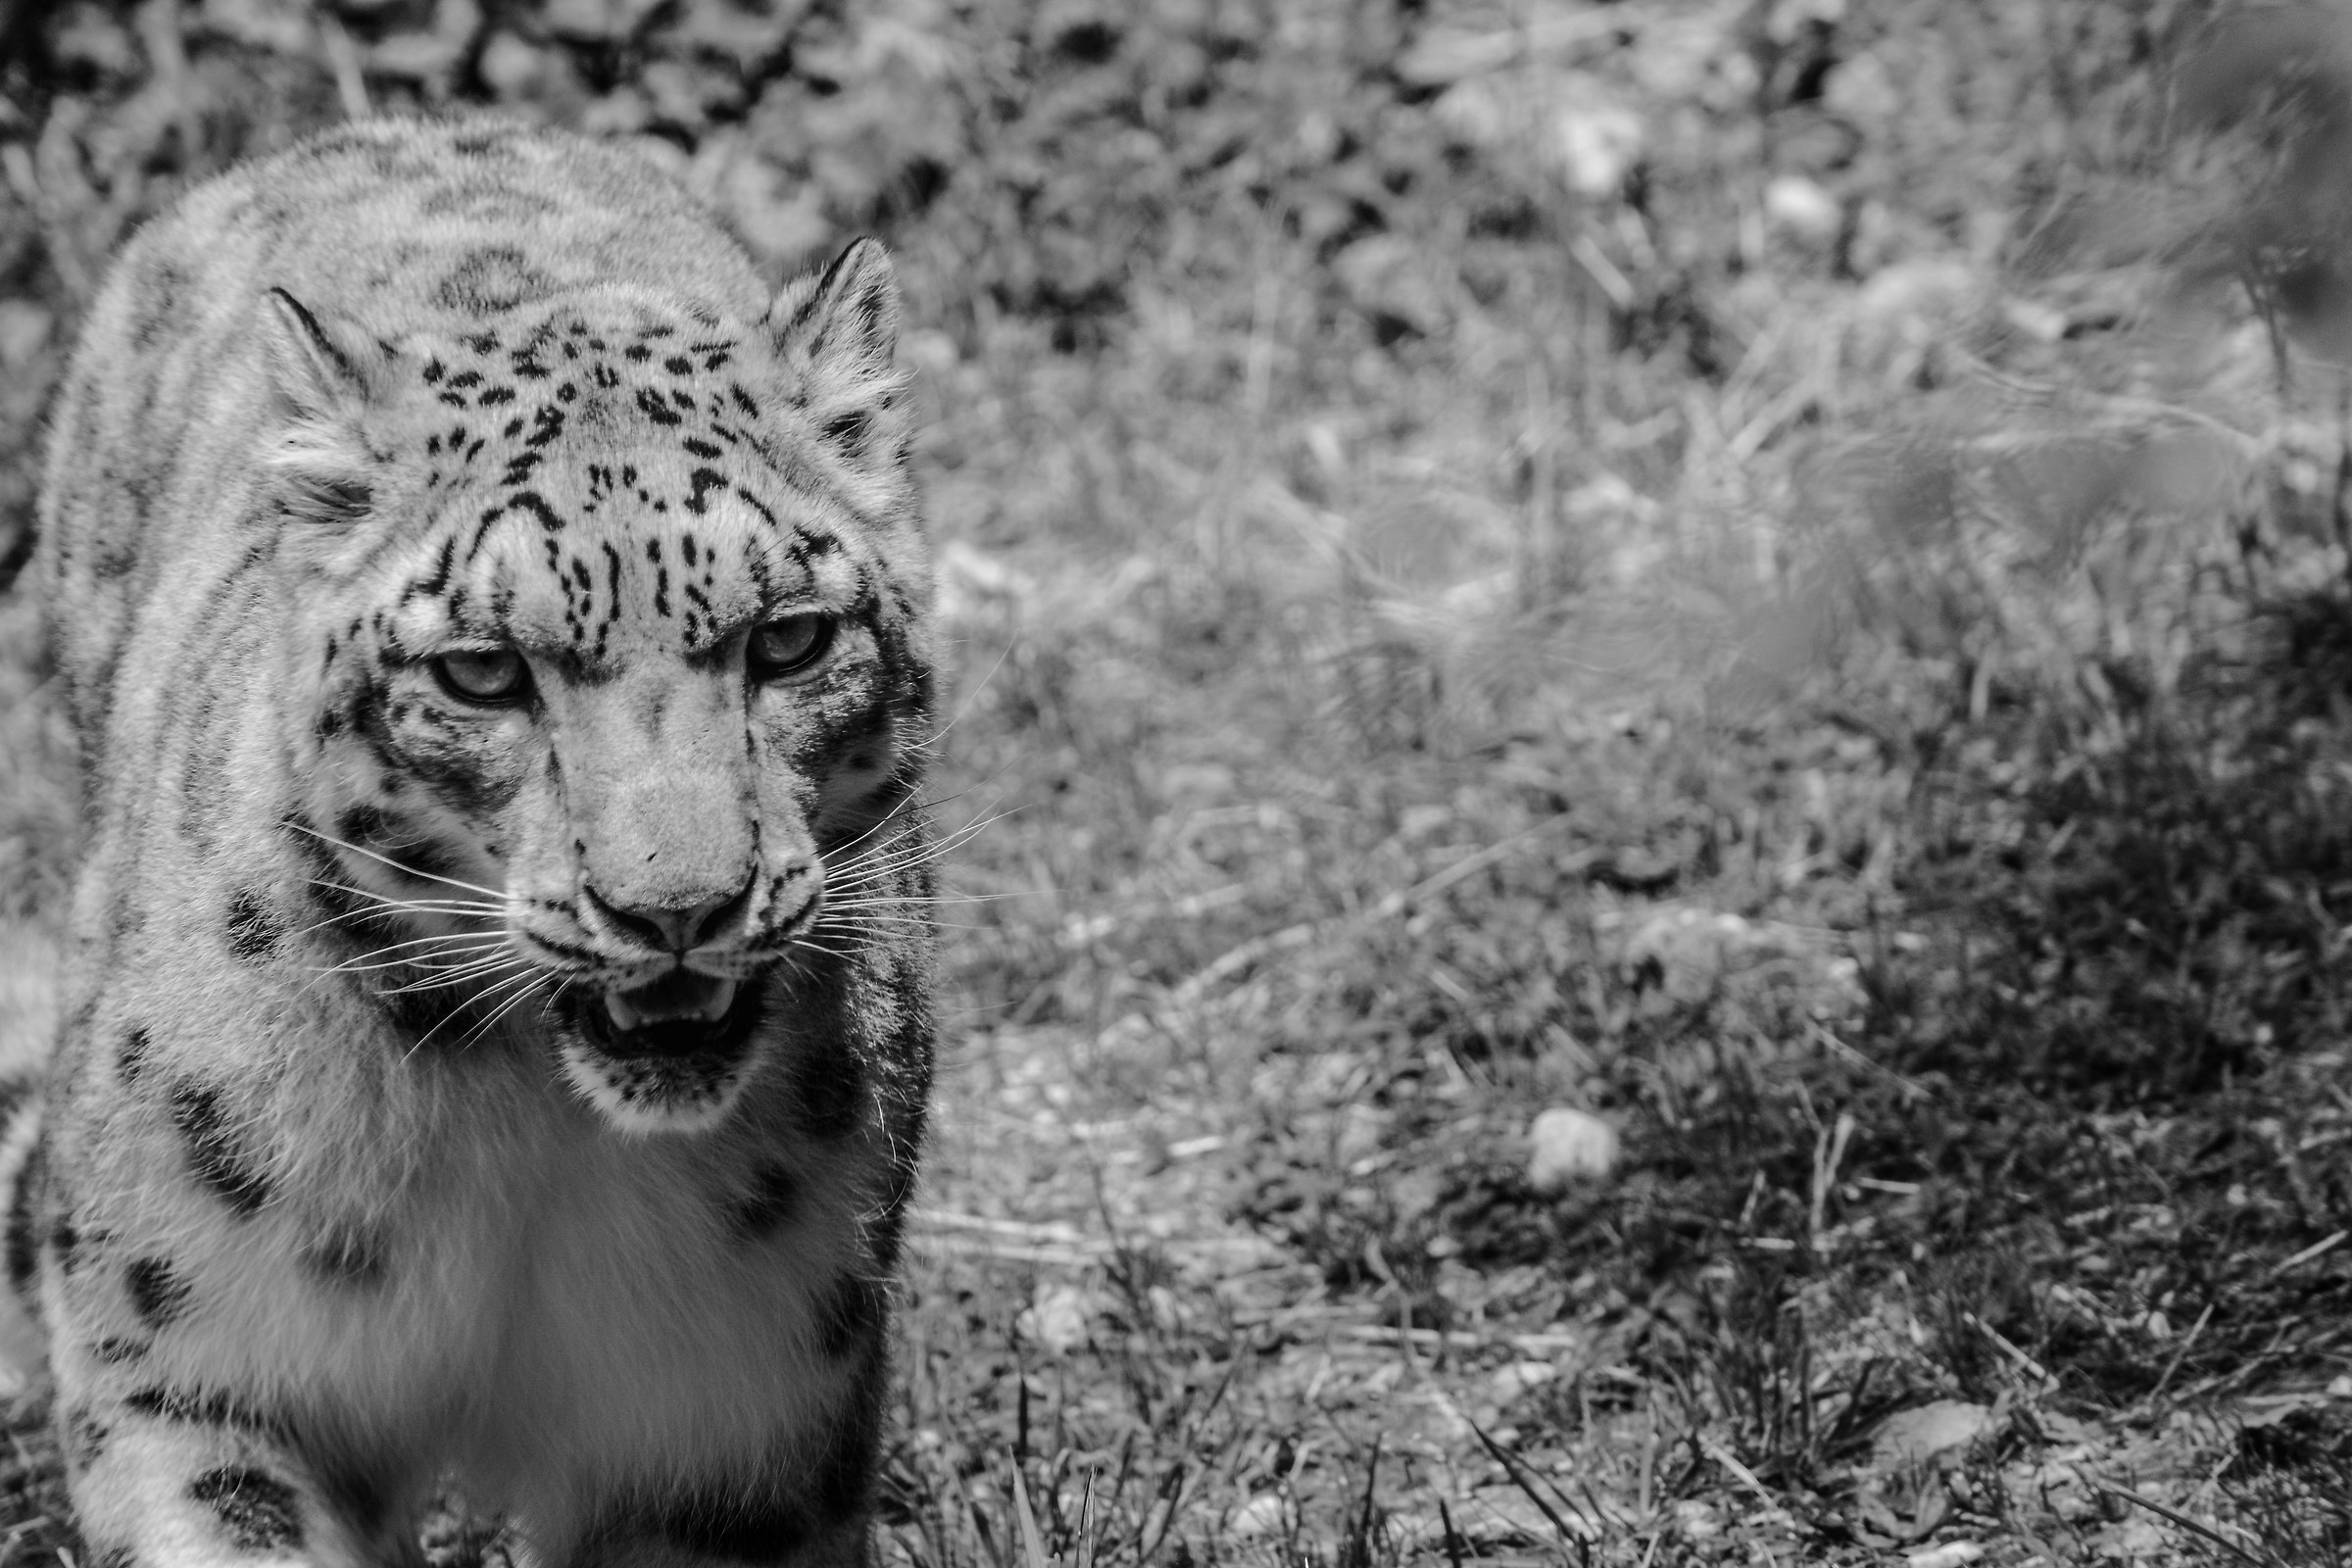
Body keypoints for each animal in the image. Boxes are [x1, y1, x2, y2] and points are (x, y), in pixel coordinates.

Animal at [6, 116, 940, 1566]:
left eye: (790, 638)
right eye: (483, 670)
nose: (679, 908)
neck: (531, 1131)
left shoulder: (739, 1440)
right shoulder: (188, 1366)